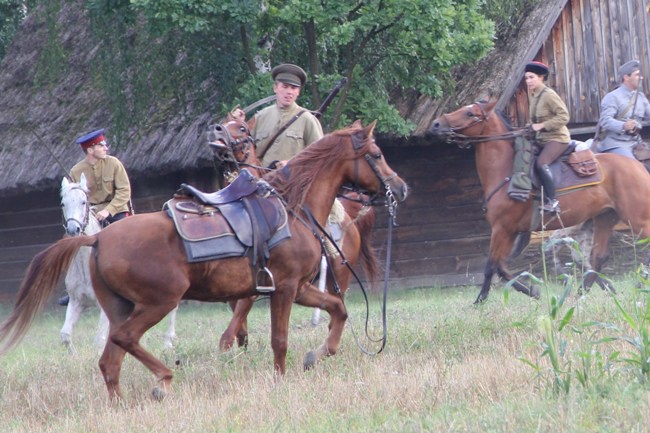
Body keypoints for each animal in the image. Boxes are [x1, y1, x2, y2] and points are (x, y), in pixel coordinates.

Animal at [60, 174, 176, 352]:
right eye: (63, 203)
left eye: (83, 202)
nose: (74, 230)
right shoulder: (76, 302)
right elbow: (65, 335)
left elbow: (99, 340)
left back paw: (168, 343)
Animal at [209, 119, 380, 368]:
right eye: (225, 122)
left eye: (241, 128)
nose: (217, 132)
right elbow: (238, 317)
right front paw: (240, 344)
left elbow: (238, 316)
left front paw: (228, 346)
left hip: (339, 277)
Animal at [428, 101, 648, 304]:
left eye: (470, 113)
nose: (436, 124)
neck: (507, 171)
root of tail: (637, 166)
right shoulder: (511, 232)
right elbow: (502, 267)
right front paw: (533, 291)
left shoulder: (501, 229)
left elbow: (491, 266)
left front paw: (479, 301)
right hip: (605, 218)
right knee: (598, 257)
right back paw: (581, 296)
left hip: (636, 219)